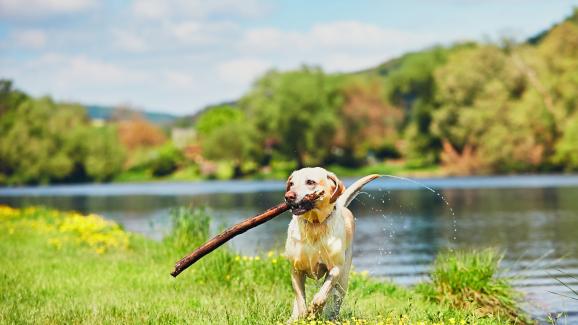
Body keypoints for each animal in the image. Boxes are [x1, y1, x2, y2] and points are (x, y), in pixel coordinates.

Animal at [282, 167, 380, 318]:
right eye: (291, 183)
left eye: (310, 182)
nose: (288, 196)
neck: (315, 225)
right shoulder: (296, 269)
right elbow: (300, 298)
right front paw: (303, 314)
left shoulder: (336, 268)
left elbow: (323, 294)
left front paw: (314, 310)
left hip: (344, 279)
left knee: (336, 298)